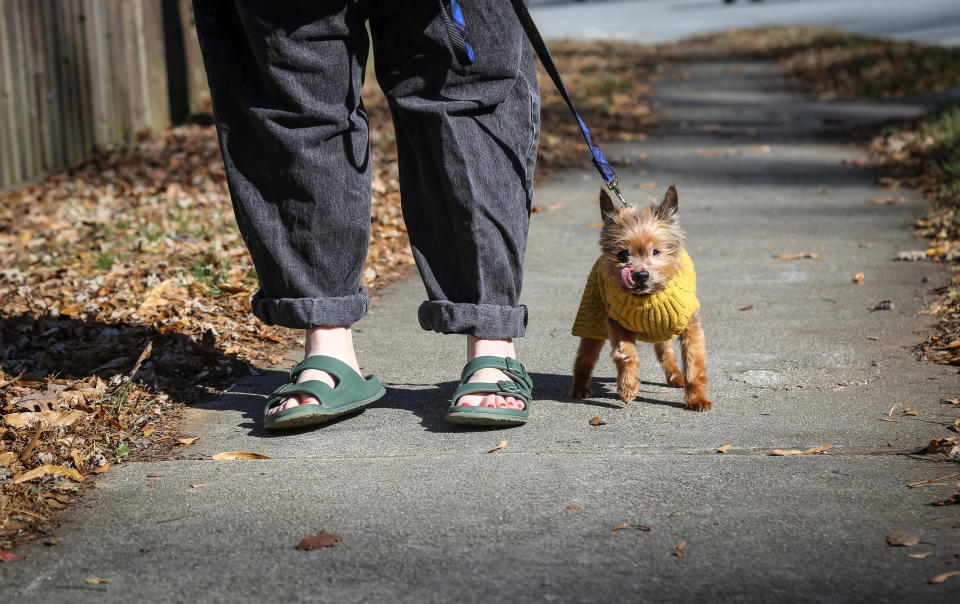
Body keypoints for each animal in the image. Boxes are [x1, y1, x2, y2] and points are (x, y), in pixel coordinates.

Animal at [568, 186, 712, 410]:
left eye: (656, 252)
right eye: (622, 255)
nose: (640, 274)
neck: (646, 297)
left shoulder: (691, 327)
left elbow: (694, 366)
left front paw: (697, 398)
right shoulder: (617, 325)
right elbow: (626, 355)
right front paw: (628, 387)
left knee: (665, 351)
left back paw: (676, 376)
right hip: (591, 318)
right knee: (585, 356)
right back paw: (580, 388)